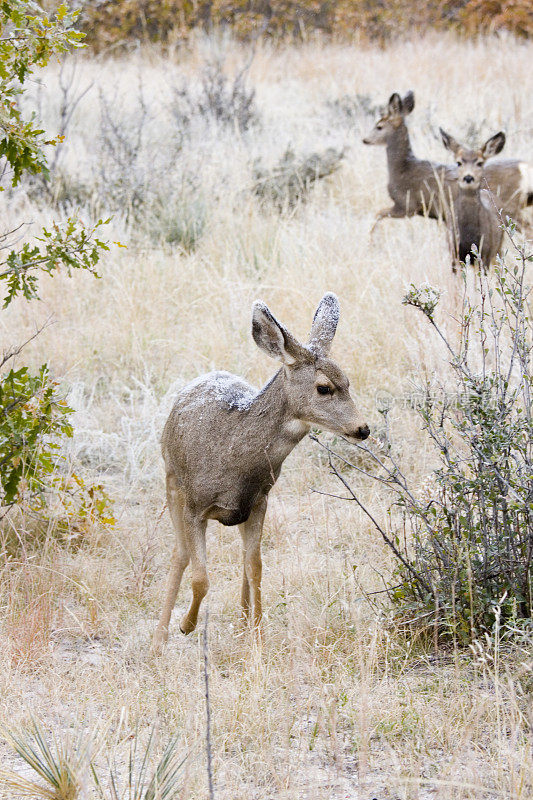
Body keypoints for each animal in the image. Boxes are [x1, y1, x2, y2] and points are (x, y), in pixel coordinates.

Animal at [150, 290, 368, 652]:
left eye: (348, 381)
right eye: (324, 387)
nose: (363, 429)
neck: (235, 460)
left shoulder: (259, 501)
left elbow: (256, 567)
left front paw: (257, 638)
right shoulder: (195, 504)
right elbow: (200, 576)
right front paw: (185, 625)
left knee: (240, 559)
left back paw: (240, 623)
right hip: (172, 485)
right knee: (179, 555)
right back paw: (160, 638)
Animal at [362, 93, 532, 233]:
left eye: (379, 126)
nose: (365, 139)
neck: (402, 168)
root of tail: (525, 168)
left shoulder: (407, 205)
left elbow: (377, 215)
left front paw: (371, 240)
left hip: (509, 205)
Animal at [438, 128, 504, 270]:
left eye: (479, 163)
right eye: (459, 162)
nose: (468, 177)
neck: (469, 235)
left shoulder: (484, 253)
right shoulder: (455, 254)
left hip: (497, 249)